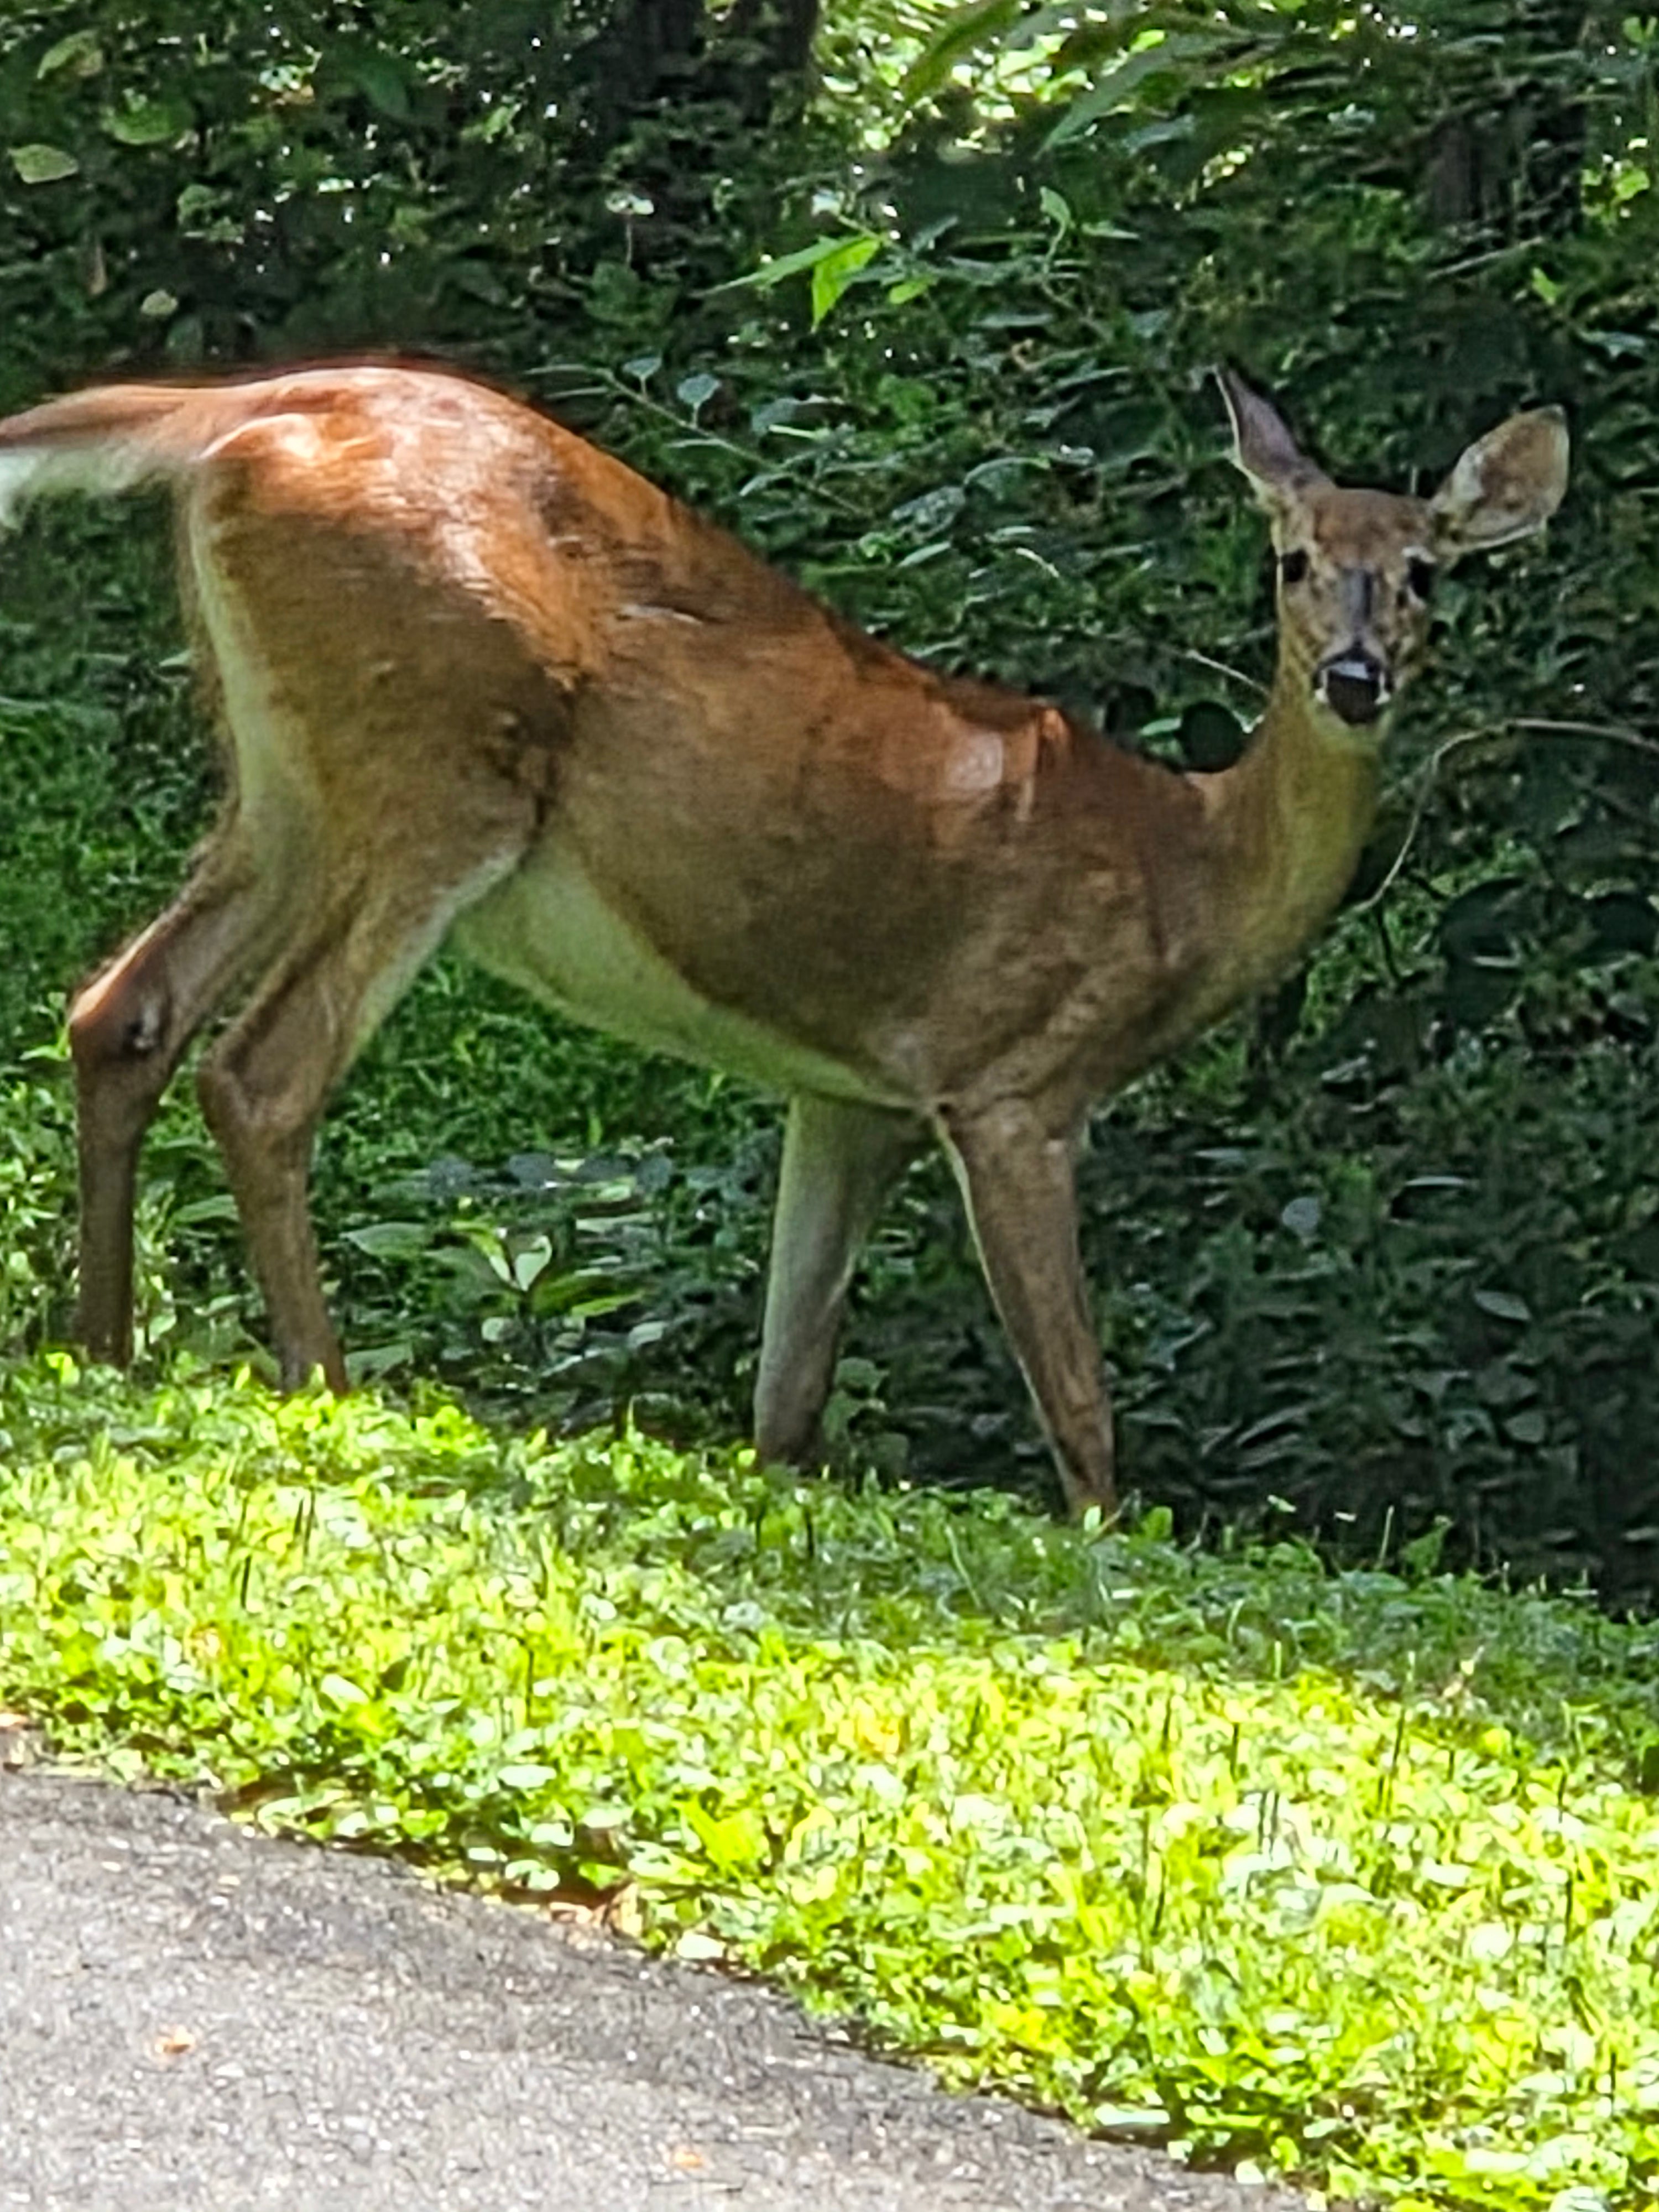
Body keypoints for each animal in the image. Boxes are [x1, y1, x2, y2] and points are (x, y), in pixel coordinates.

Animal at [0, 362, 1567, 1517]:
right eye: (1294, 560)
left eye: (1426, 575)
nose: (1354, 678)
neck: (1189, 869)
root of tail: (262, 406)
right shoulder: (1009, 1075)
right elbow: (1080, 1409)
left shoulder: (845, 1095)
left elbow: (787, 1397)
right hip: (441, 761)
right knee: (263, 1072)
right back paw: (320, 1383)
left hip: (282, 778)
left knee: (121, 1009)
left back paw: (102, 1349)